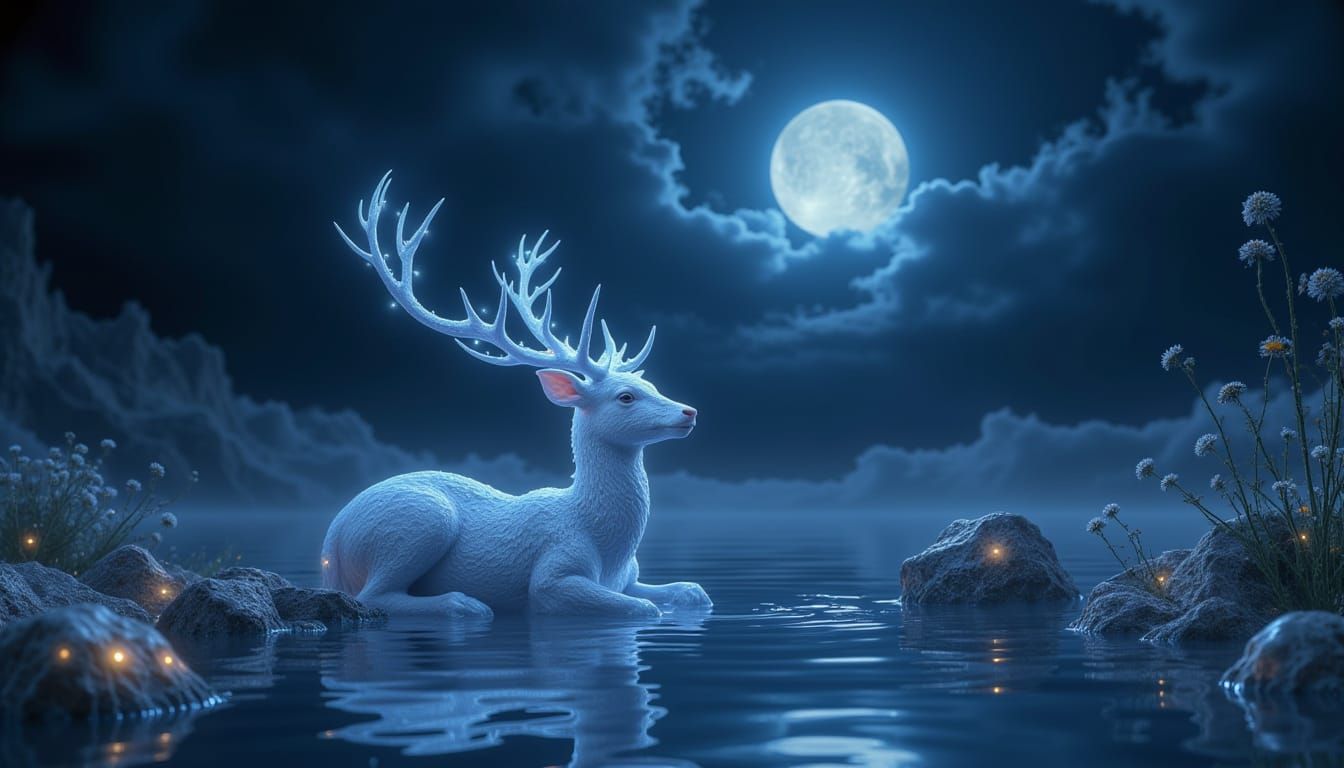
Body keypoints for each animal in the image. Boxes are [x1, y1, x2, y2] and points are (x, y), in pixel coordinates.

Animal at [320, 172, 710, 620]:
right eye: (626, 397)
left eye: (654, 387)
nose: (689, 412)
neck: (605, 542)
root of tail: (332, 542)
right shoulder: (553, 574)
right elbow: (640, 608)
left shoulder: (630, 576)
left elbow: (692, 590)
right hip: (415, 523)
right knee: (375, 595)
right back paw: (465, 604)